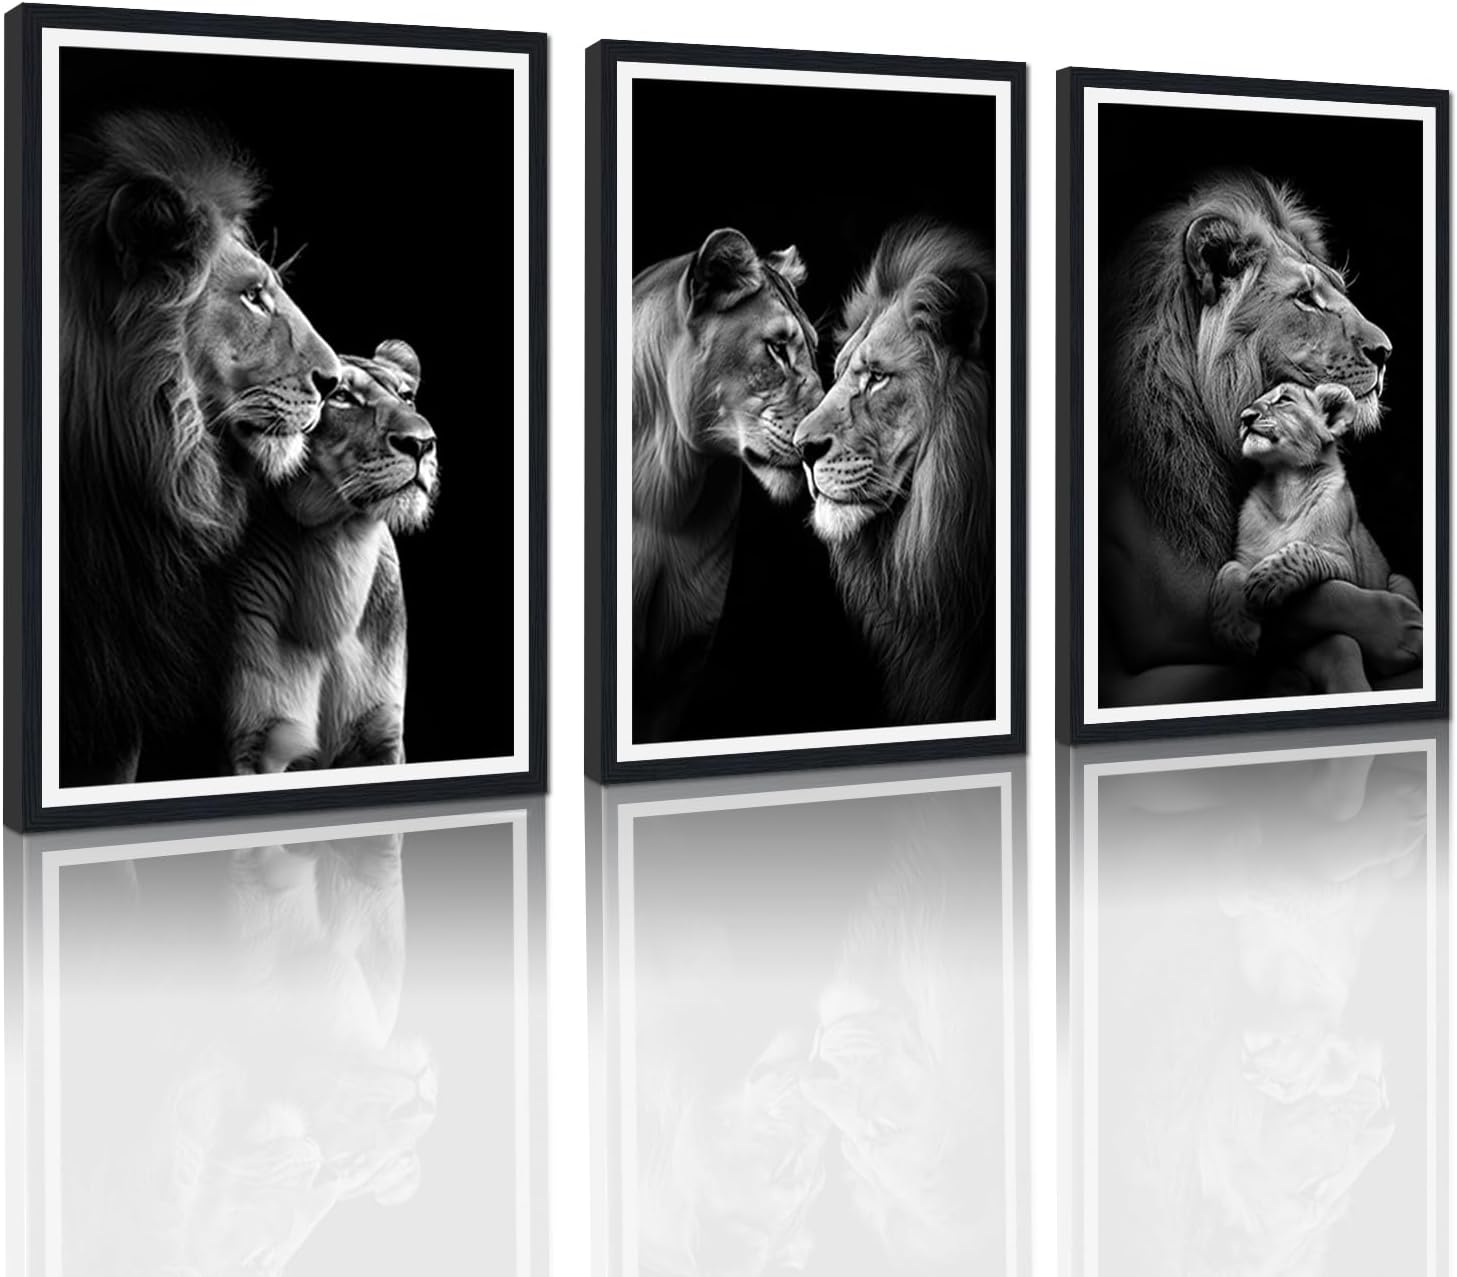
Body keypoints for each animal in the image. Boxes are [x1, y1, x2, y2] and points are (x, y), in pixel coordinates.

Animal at [1209, 382, 1420, 693]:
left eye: (1284, 400)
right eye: (1254, 402)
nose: (1246, 417)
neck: (1285, 483)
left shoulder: (1345, 562)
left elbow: (1302, 549)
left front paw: (1266, 580)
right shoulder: (1245, 557)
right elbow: (1228, 568)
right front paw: (1233, 631)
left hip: (1399, 579)